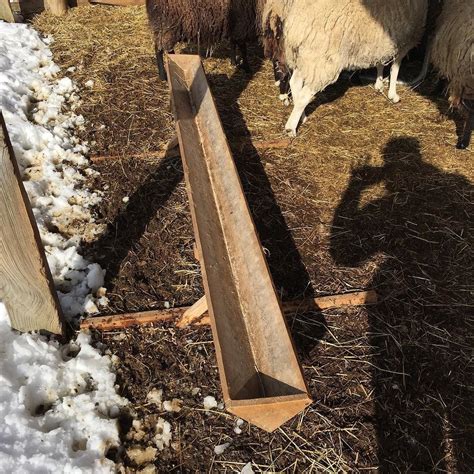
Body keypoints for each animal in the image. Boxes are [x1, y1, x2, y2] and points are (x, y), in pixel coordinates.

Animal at [262, 0, 430, 135]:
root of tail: (297, 20)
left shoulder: (381, 43)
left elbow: (380, 63)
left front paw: (379, 83)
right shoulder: (404, 42)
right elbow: (395, 69)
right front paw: (393, 95)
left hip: (307, 56)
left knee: (295, 83)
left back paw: (302, 117)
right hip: (323, 59)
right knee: (305, 95)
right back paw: (291, 128)